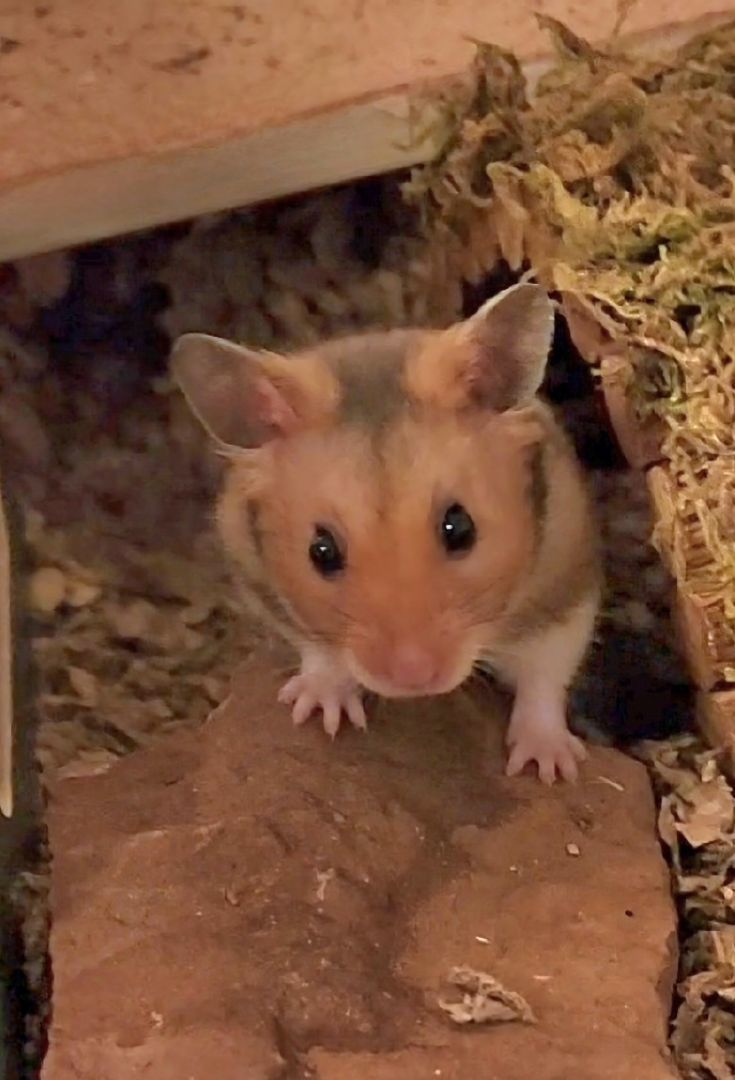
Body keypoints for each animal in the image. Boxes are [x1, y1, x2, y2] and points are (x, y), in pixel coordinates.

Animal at [171, 283, 601, 783]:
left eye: (460, 528)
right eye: (321, 551)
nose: (413, 678)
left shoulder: (564, 583)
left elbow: (545, 672)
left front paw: (547, 767)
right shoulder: (261, 581)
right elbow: (319, 650)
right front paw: (321, 711)